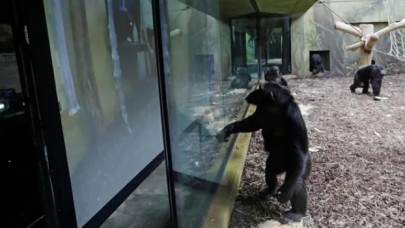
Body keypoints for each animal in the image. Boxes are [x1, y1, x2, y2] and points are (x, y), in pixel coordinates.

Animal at [216, 81, 310, 223]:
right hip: (277, 161)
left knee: (297, 181)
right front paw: (228, 129)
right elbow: (250, 124)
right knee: (270, 169)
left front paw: (286, 193)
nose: (250, 94)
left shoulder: (294, 117)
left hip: (299, 166)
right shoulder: (260, 112)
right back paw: (270, 190)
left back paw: (296, 213)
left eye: (259, 90)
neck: (275, 109)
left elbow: (300, 150)